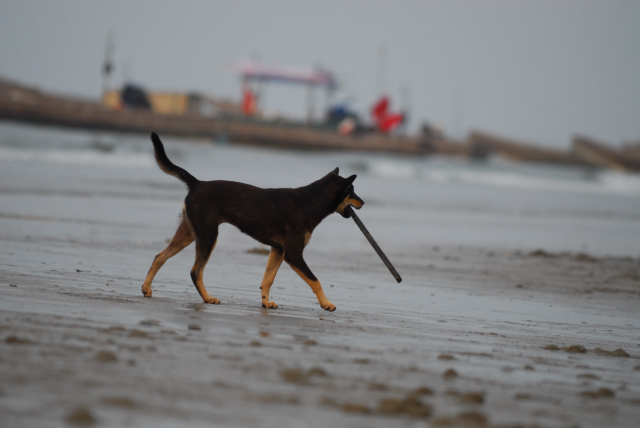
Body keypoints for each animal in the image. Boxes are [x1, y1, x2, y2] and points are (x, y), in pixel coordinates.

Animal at [142, 133, 362, 310]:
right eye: (351, 191)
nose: (363, 202)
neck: (310, 202)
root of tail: (197, 183)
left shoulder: (278, 250)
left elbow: (268, 279)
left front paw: (265, 303)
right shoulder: (293, 254)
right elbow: (315, 280)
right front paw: (326, 304)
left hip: (189, 232)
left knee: (160, 257)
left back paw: (146, 288)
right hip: (208, 234)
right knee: (195, 271)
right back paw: (207, 298)